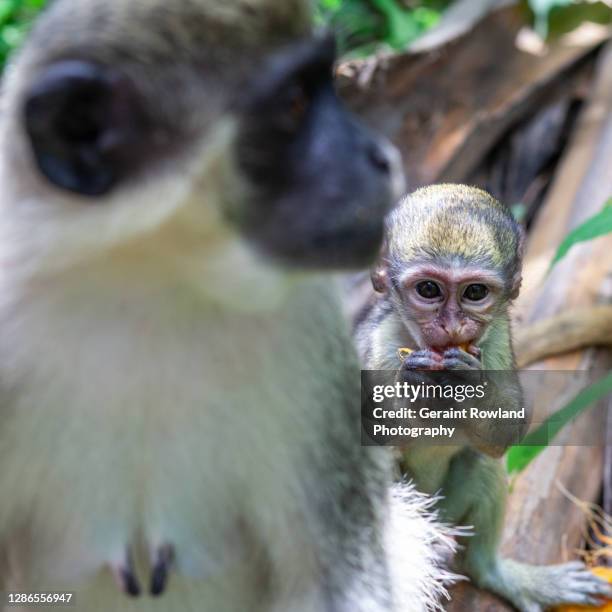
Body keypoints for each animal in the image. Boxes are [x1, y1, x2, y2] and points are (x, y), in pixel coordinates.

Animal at [354, 183, 612, 612]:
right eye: (428, 290)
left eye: (475, 292)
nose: (452, 326)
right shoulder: (379, 343)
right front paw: (415, 381)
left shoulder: (496, 340)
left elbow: (504, 434)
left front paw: (461, 379)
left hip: (444, 509)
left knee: (481, 461)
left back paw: (490, 571)